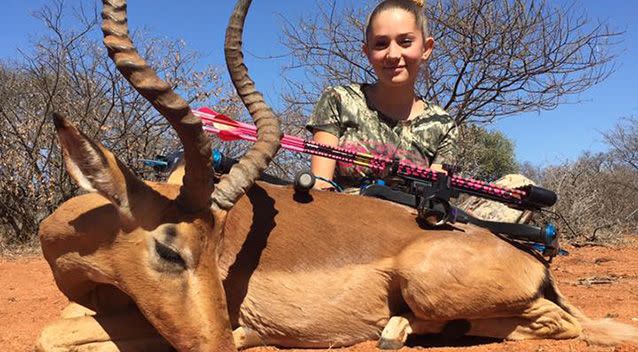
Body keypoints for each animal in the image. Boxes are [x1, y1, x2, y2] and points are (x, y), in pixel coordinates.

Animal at [37, 0, 636, 352]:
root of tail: (530, 257)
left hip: (431, 288)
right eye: (169, 249)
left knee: (561, 324)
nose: (220, 343)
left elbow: (50, 335)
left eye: (213, 250)